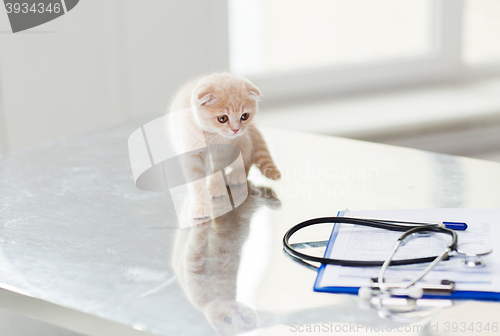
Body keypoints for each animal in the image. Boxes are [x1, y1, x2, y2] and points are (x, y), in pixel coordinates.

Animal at [167, 73, 278, 218]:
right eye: (223, 118)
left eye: (244, 116)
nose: (236, 130)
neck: (209, 135)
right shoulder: (191, 154)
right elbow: (196, 181)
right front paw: (200, 205)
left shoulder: (223, 150)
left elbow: (217, 169)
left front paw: (215, 186)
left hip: (243, 143)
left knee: (247, 161)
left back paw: (237, 175)